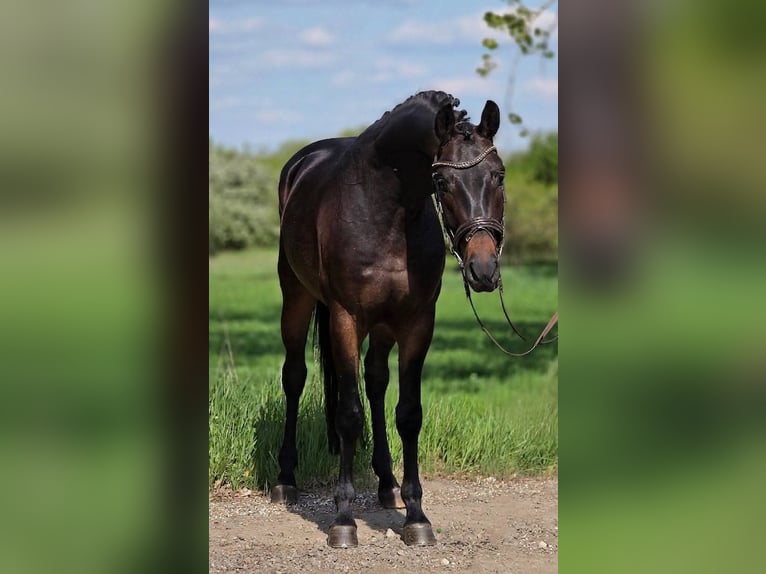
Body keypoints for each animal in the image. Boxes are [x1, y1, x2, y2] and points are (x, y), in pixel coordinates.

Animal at [270, 91, 506, 547]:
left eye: (499, 175)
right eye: (442, 183)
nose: (483, 268)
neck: (385, 208)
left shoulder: (417, 323)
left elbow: (408, 413)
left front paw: (416, 516)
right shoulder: (345, 319)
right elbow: (348, 414)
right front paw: (343, 521)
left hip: (381, 327)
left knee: (376, 381)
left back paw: (386, 483)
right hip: (297, 298)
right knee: (295, 376)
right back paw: (285, 479)